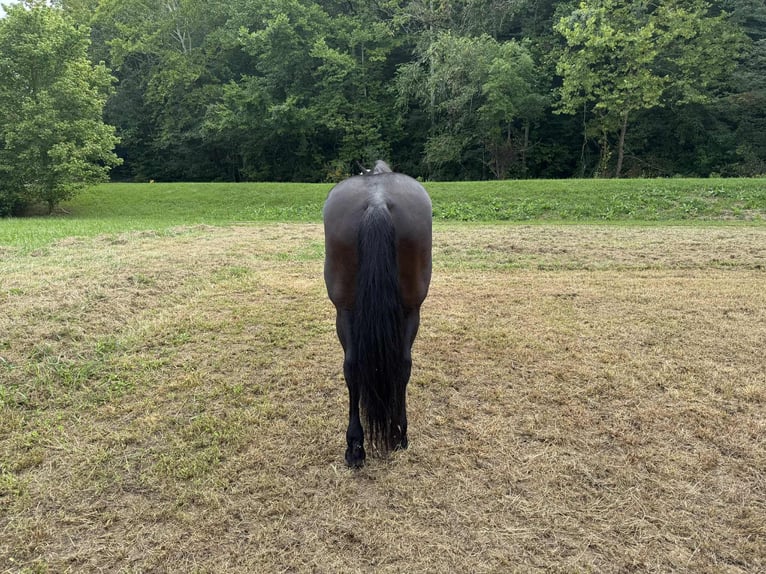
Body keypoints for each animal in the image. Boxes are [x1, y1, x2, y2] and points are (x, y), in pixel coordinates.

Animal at [323, 160, 432, 467]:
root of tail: (377, 202)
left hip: (346, 310)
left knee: (354, 366)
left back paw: (359, 444)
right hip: (410, 310)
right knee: (400, 365)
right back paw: (394, 434)